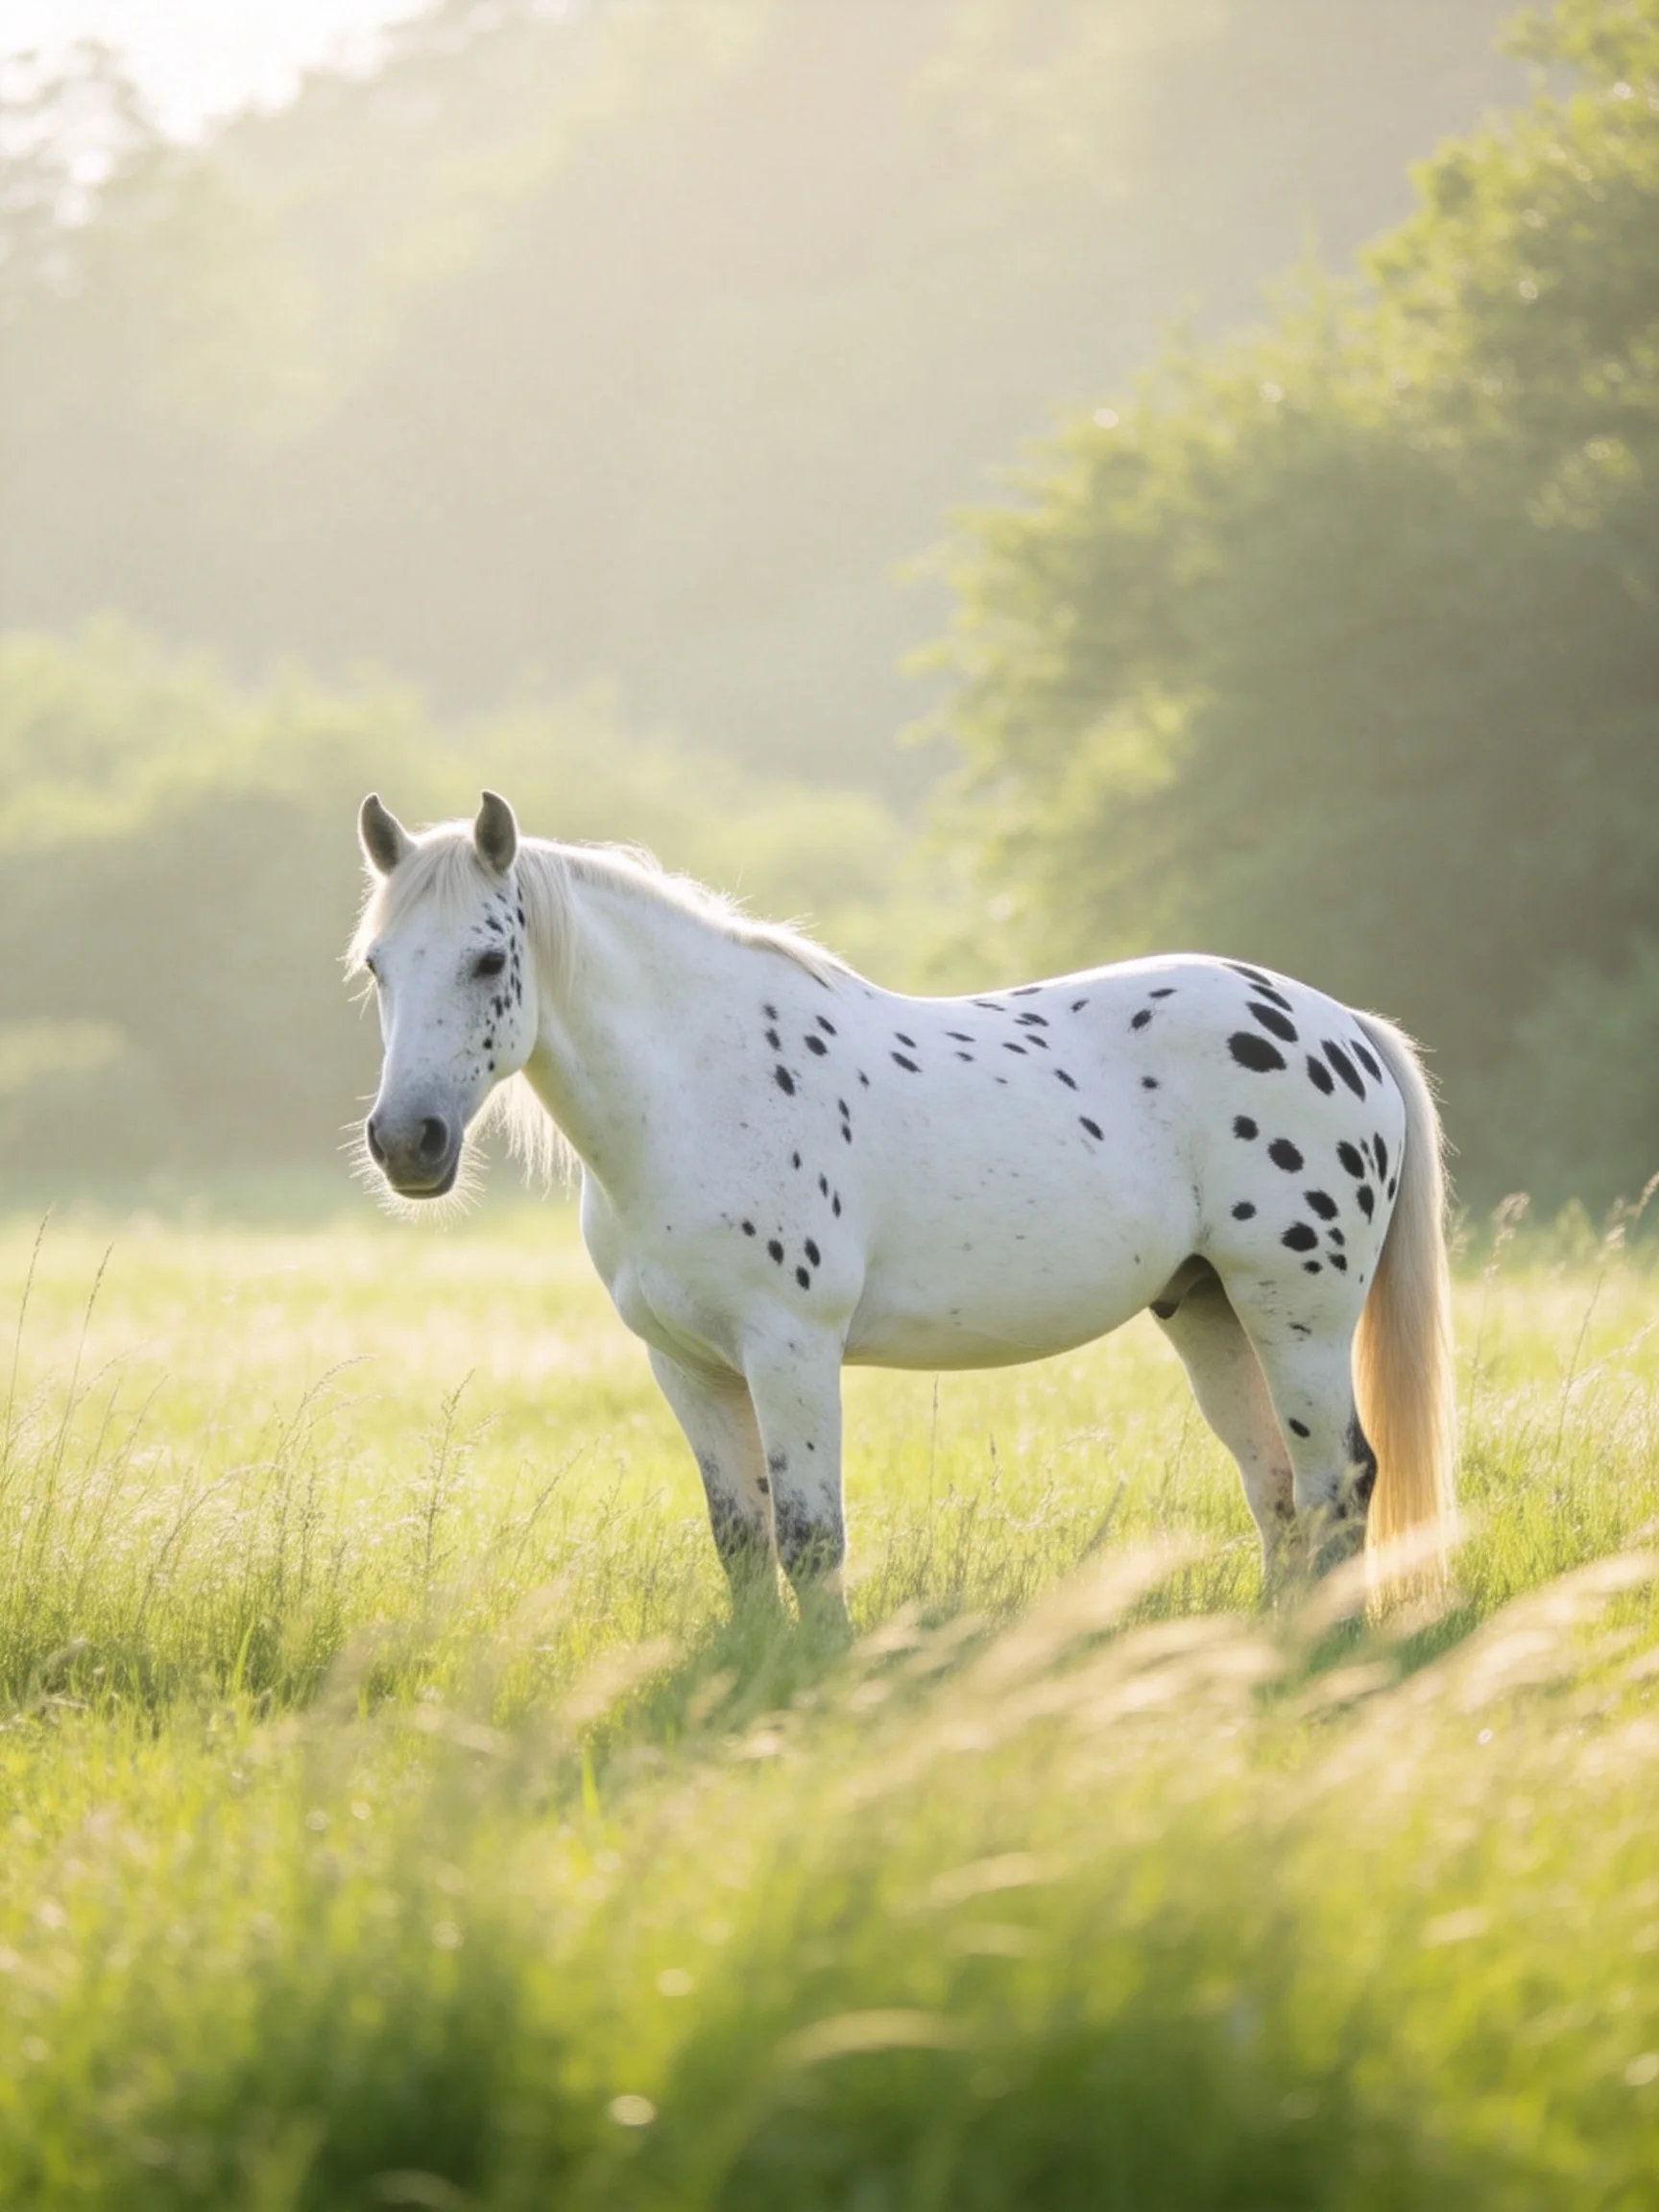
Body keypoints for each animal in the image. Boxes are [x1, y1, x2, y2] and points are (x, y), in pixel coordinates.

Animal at [349, 790, 1455, 1609]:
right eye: (376, 967)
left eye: (490, 959)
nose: (408, 1143)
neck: (701, 1089)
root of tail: (1341, 1025)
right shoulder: (687, 1365)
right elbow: (741, 1539)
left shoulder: (791, 1349)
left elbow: (809, 1537)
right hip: (1209, 1310)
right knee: (1279, 1491)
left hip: (1295, 1311)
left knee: (1339, 1480)